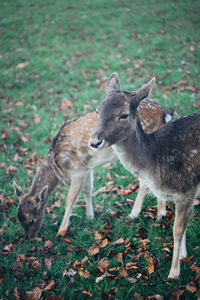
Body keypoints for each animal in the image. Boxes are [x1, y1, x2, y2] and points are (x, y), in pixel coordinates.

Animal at [13, 96, 170, 239]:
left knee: (146, 181)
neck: (59, 162)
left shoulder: (77, 168)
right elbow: (88, 190)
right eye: (19, 219)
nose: (30, 238)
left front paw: (61, 230)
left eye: (32, 220)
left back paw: (141, 215)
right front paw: (90, 217)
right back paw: (158, 215)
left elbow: (71, 197)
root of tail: (165, 114)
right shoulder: (87, 166)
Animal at [89, 72, 200, 278]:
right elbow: (185, 226)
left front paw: (174, 273)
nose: (94, 142)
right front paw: (184, 256)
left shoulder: (186, 189)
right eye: (97, 111)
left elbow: (177, 230)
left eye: (124, 115)